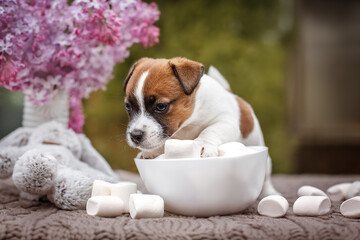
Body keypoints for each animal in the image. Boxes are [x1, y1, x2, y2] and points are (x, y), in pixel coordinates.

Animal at [124, 57, 278, 198]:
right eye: (128, 106)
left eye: (161, 106)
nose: (135, 135)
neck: (188, 124)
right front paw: (153, 150)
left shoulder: (225, 121)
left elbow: (210, 130)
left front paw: (203, 145)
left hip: (267, 163)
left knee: (266, 178)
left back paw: (269, 193)